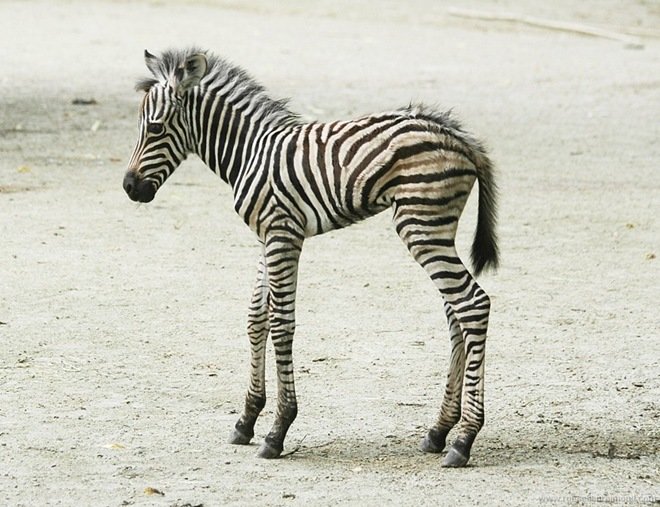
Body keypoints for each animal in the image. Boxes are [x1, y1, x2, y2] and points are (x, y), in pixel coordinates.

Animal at [124, 47, 498, 468]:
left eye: (155, 129)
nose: (129, 187)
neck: (249, 151)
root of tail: (459, 137)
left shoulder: (283, 234)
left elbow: (281, 323)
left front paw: (278, 430)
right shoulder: (267, 237)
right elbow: (256, 318)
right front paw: (246, 420)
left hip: (420, 224)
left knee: (472, 305)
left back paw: (463, 440)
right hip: (436, 228)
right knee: (455, 313)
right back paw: (438, 431)